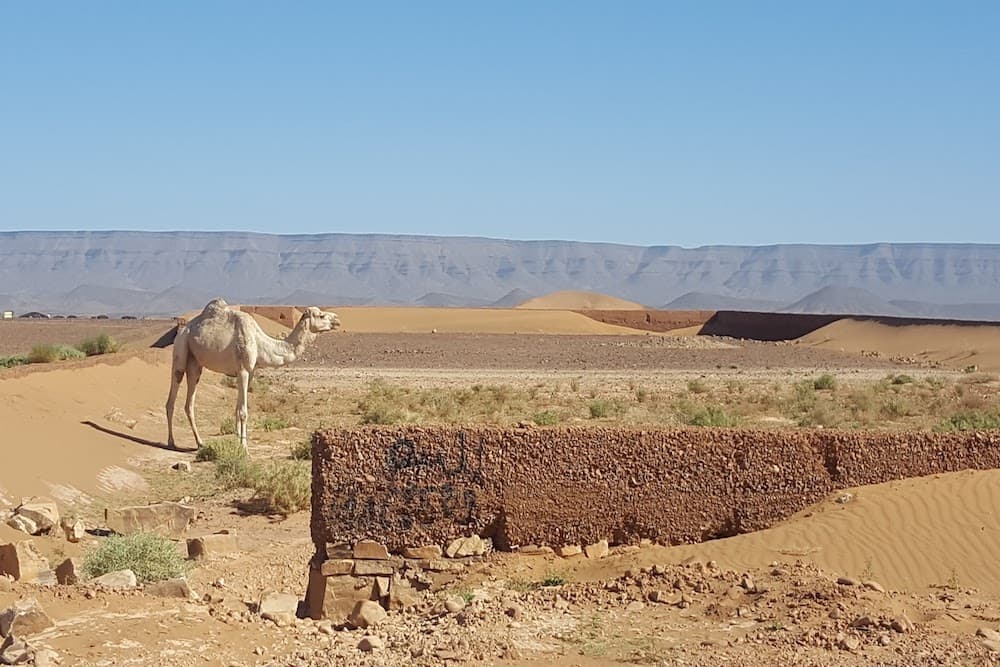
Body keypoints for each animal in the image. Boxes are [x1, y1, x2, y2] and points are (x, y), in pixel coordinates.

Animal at [166, 298, 342, 452]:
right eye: (321, 315)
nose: (337, 320)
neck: (260, 342)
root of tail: (183, 329)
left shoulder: (249, 372)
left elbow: (238, 408)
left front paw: (237, 442)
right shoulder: (243, 370)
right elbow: (243, 412)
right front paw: (244, 448)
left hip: (195, 363)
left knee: (189, 404)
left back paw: (200, 443)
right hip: (181, 349)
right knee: (172, 397)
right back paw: (171, 442)